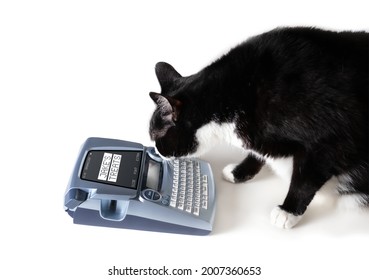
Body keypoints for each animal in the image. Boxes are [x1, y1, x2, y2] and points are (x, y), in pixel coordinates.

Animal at [148, 26, 366, 229]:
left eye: (156, 136)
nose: (156, 152)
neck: (233, 96)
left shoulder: (328, 140)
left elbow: (304, 180)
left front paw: (288, 211)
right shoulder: (258, 133)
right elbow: (258, 153)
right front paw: (239, 172)